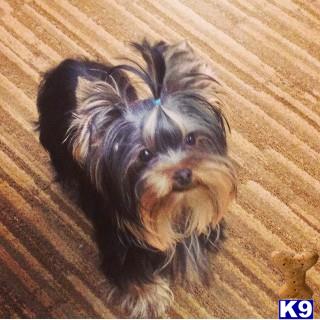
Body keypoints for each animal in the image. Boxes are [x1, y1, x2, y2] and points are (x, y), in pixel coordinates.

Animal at [37, 40, 238, 318]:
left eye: (190, 139)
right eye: (145, 154)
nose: (183, 173)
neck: (175, 208)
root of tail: (66, 65)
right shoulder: (119, 244)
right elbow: (131, 273)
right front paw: (150, 296)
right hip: (52, 136)